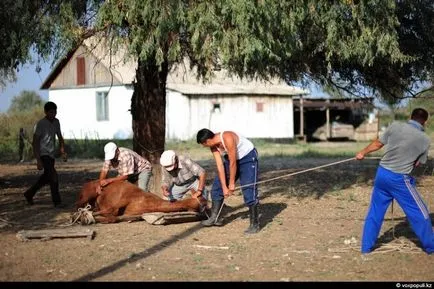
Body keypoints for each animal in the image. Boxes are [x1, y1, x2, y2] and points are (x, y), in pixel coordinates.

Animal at [75, 179, 209, 224]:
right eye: (203, 200)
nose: (207, 210)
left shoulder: (131, 215)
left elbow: (113, 218)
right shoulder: (120, 202)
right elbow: (109, 212)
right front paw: (81, 217)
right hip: (86, 195)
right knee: (78, 205)